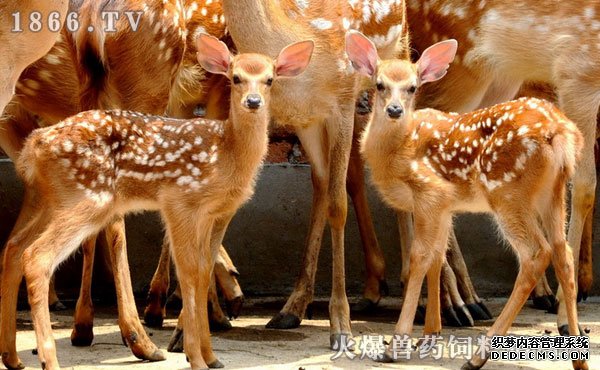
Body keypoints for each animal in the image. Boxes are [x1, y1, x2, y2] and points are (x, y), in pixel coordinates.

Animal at [7, 34, 312, 370]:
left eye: (270, 79)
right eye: (235, 78)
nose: (253, 102)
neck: (227, 152)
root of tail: (35, 144)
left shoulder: (216, 214)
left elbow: (203, 271)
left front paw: (211, 356)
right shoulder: (179, 201)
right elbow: (189, 271)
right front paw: (195, 356)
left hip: (48, 199)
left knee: (13, 248)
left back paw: (12, 356)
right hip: (87, 199)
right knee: (37, 257)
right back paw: (50, 359)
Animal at [346, 30, 584, 368]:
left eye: (412, 87)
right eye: (379, 84)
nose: (394, 110)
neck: (398, 150)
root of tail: (561, 132)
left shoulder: (430, 192)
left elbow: (420, 258)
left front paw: (398, 344)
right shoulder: (444, 207)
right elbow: (436, 257)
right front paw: (429, 336)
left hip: (507, 193)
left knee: (537, 254)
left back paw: (477, 356)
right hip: (553, 193)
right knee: (564, 254)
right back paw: (578, 356)